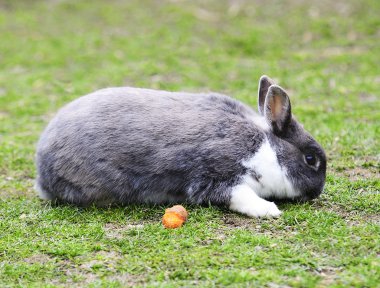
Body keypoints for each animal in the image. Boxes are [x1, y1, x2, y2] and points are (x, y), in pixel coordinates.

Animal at [36, 75, 326, 217]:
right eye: (310, 159)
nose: (317, 191)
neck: (267, 146)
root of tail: (42, 170)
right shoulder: (214, 176)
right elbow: (239, 194)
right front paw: (269, 210)